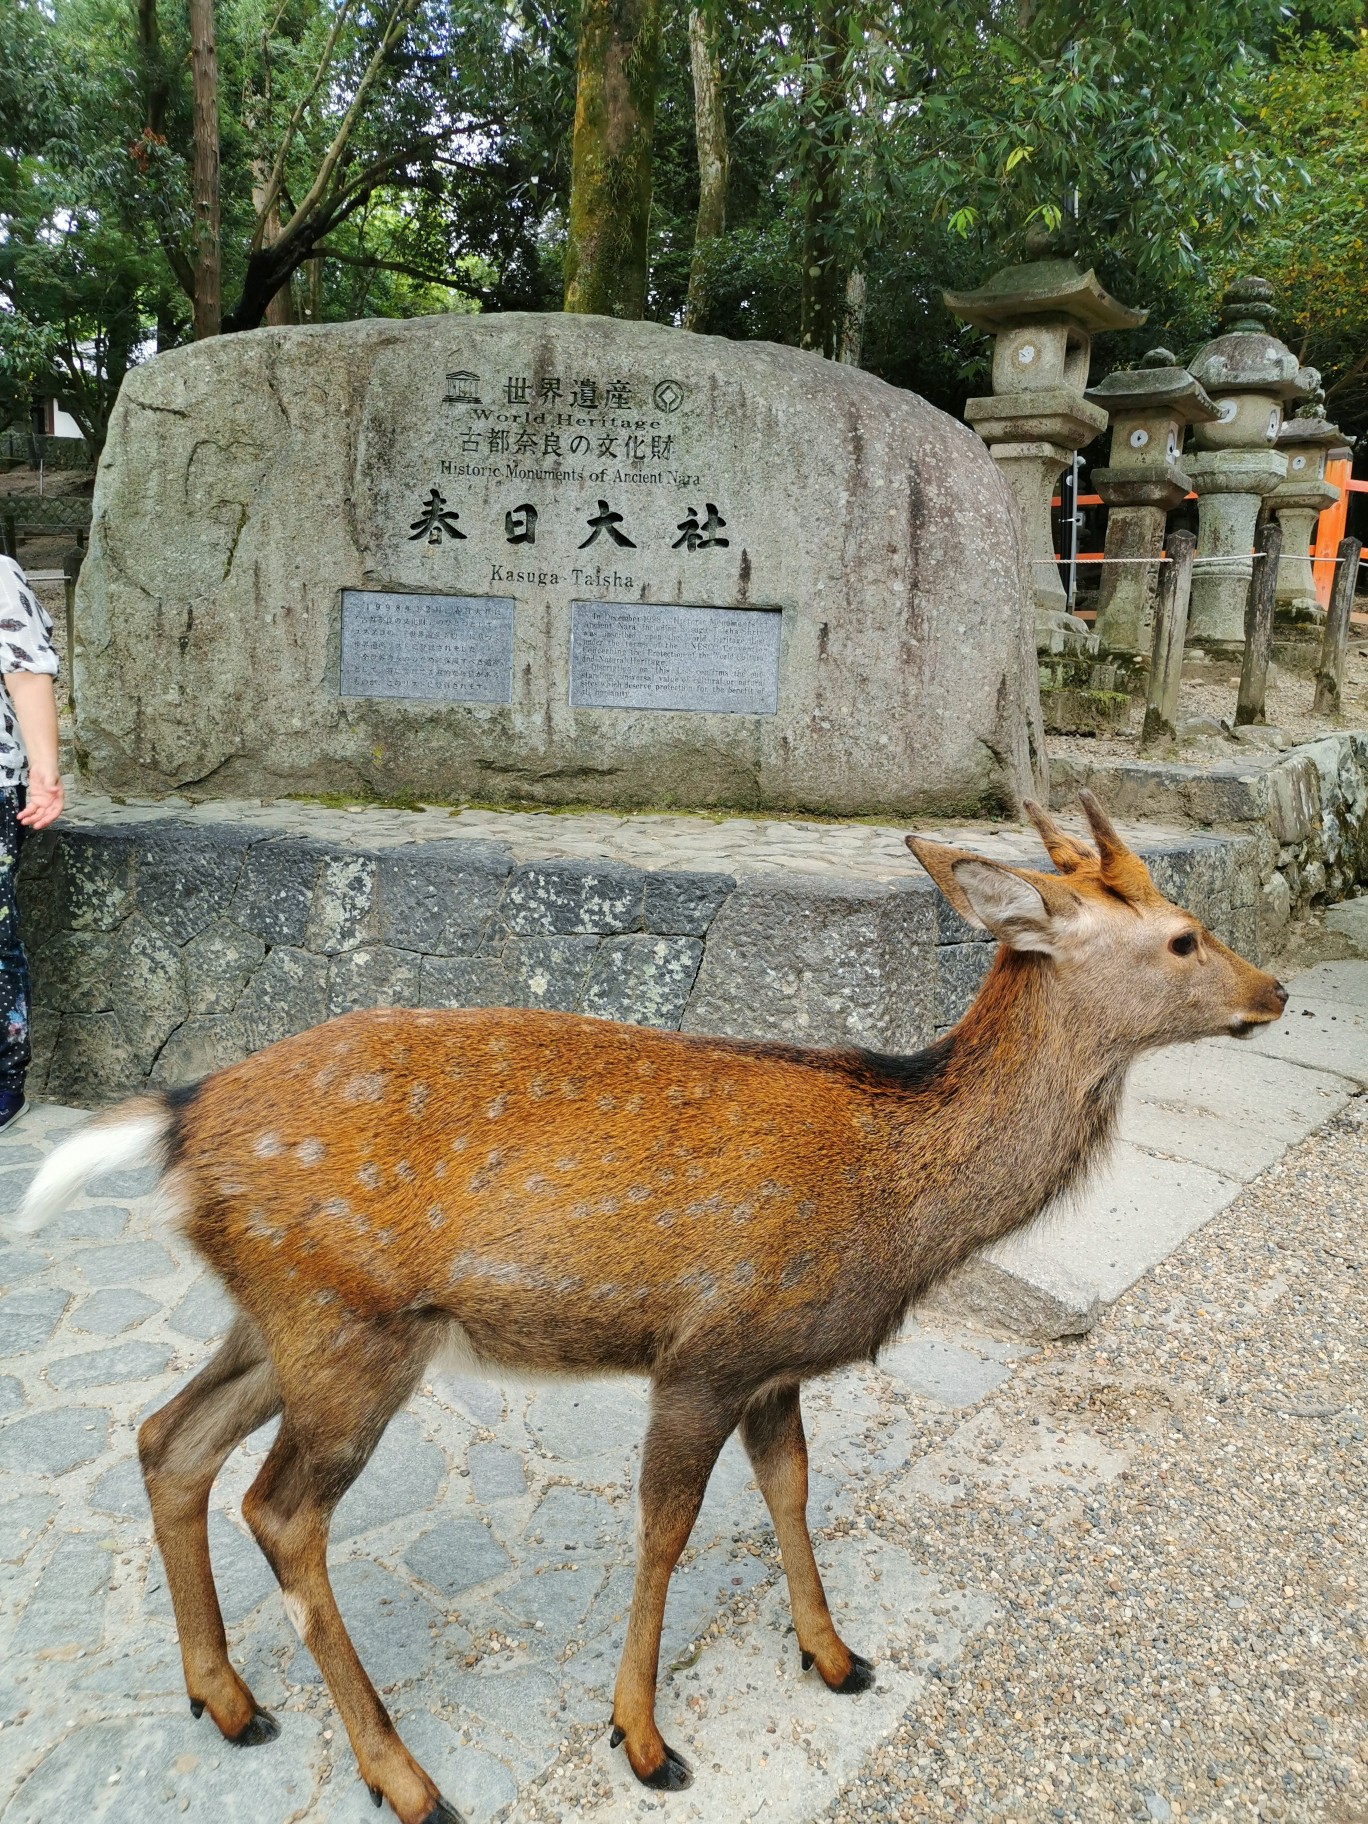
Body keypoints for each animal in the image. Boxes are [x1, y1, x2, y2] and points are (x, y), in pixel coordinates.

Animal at [10, 798, 1291, 1824]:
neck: (895, 1198)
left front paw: (836, 1656)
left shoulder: (776, 1361)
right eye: (1182, 935)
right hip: (347, 1326)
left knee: (168, 1437)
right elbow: (666, 1530)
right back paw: (402, 1776)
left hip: (281, 1314)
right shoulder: (707, 1348)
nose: (1273, 990)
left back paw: (225, 1699)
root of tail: (181, 1119)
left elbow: (791, 1489)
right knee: (277, 1510)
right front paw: (642, 1738)